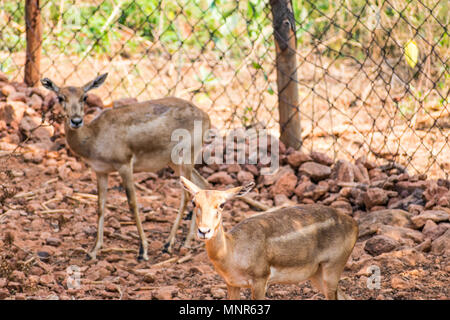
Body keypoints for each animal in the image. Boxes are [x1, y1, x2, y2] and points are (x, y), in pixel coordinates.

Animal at [40, 74, 211, 262]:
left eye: (84, 97)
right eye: (60, 97)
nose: (76, 121)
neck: (94, 138)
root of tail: (205, 116)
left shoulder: (124, 165)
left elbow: (132, 203)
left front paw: (143, 250)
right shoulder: (100, 171)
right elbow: (100, 205)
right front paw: (93, 250)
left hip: (186, 156)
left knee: (187, 195)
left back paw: (169, 244)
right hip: (176, 163)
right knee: (201, 186)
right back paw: (188, 242)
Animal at [179, 175, 358, 300]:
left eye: (222, 204)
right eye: (194, 202)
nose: (204, 231)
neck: (232, 251)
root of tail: (354, 224)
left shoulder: (260, 279)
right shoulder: (231, 283)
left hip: (333, 268)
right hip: (317, 274)